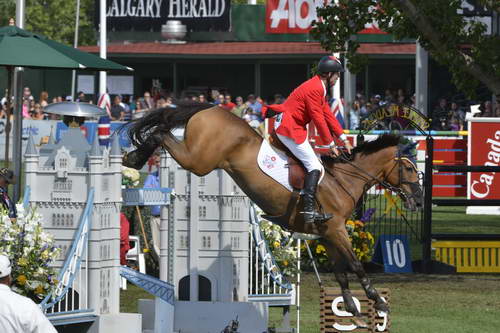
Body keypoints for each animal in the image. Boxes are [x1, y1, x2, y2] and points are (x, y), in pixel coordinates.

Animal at [123, 102, 424, 326]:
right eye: (409, 169)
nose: (419, 199)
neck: (344, 180)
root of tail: (210, 108)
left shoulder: (327, 233)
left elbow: (340, 271)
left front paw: (351, 308)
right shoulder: (337, 230)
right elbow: (356, 264)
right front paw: (378, 301)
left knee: (163, 131)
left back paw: (134, 156)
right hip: (199, 161)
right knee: (162, 134)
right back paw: (135, 157)